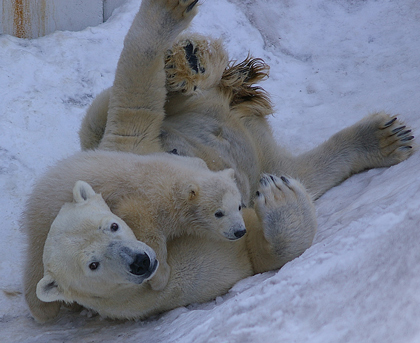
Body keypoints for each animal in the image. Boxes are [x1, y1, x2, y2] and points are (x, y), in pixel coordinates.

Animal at [23, 0, 414, 324]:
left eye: (113, 225)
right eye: (92, 265)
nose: (140, 261)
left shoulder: (129, 151)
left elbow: (136, 100)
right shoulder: (177, 278)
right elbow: (257, 252)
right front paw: (278, 196)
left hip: (140, 123)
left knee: (134, 96)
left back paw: (186, 63)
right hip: (256, 153)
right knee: (299, 168)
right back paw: (383, 138)